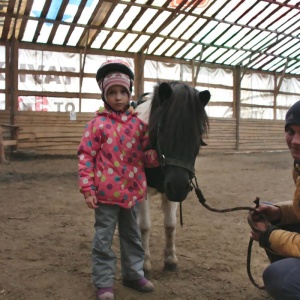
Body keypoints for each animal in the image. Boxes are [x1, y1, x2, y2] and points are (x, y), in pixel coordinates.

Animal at [136, 81, 211, 276]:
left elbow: (170, 224)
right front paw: (144, 262)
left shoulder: (170, 189)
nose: (178, 188)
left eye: (198, 134)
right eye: (161, 130)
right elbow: (145, 226)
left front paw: (170, 259)